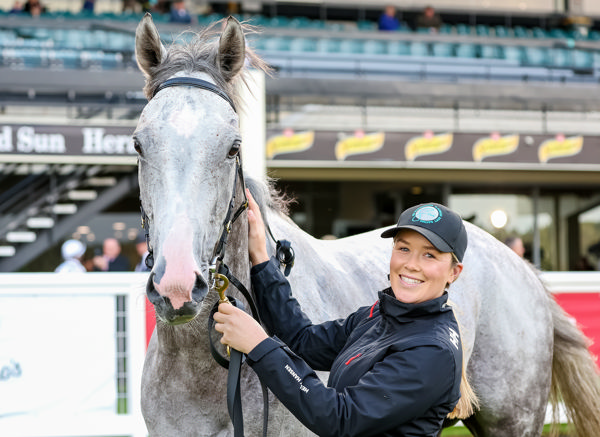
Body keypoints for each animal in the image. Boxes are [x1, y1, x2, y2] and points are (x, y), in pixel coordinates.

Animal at [136, 14, 600, 436]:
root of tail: (522, 267)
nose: (178, 286)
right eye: (139, 144)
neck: (205, 374)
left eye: (233, 147)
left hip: (513, 422)